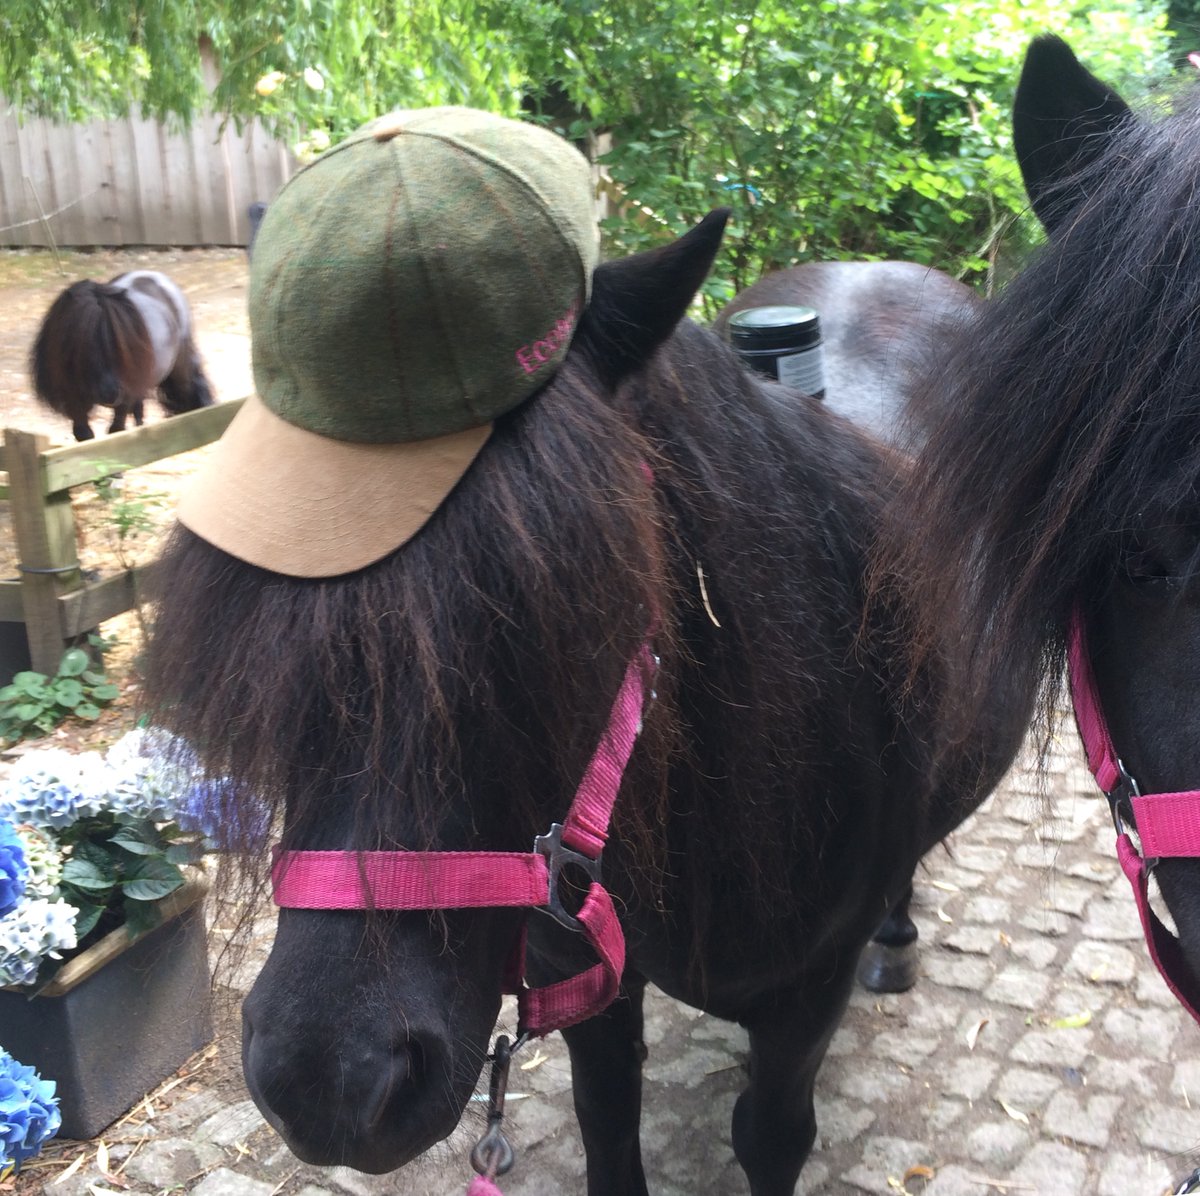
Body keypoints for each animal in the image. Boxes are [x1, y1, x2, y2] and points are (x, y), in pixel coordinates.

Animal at [31, 270, 214, 441]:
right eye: (83, 341)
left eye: (120, 341)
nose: (111, 393)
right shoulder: (75, 404)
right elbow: (84, 434)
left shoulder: (125, 399)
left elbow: (116, 430)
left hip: (180, 372)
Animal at [139, 36, 1200, 1195]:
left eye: (576, 606)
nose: (329, 1083)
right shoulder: (593, 984)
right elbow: (609, 1118)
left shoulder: (803, 1000)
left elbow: (770, 1132)